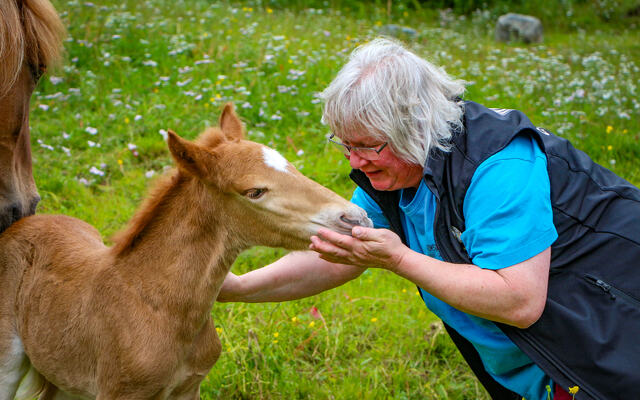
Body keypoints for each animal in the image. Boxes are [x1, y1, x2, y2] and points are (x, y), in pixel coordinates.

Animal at [0, 104, 370, 398]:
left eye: (291, 166)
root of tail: (19, 227)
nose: (355, 217)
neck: (161, 308)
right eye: (254, 191)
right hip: (9, 365)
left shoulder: (189, 387)